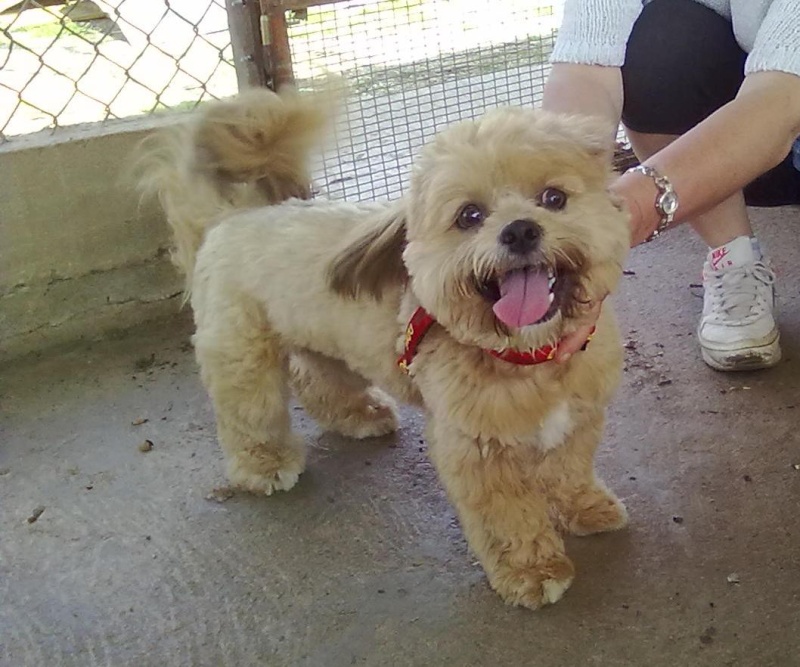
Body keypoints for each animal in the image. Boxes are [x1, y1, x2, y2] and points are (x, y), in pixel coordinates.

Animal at [141, 87, 636, 612]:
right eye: (470, 216)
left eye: (554, 198)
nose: (520, 230)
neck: (530, 356)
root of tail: (230, 220)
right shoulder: (478, 452)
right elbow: (510, 517)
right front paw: (532, 570)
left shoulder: (577, 421)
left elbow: (568, 472)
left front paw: (586, 507)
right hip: (244, 359)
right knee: (249, 416)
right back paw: (264, 465)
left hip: (326, 340)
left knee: (319, 380)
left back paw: (358, 416)